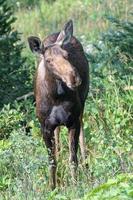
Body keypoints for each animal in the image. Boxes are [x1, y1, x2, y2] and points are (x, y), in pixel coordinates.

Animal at [27, 19, 89, 189]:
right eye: (49, 60)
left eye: (67, 55)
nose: (74, 78)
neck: (56, 97)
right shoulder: (45, 126)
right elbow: (52, 161)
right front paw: (52, 187)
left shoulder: (73, 121)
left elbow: (73, 158)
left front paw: (75, 185)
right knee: (58, 145)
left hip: (82, 106)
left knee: (82, 136)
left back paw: (87, 167)